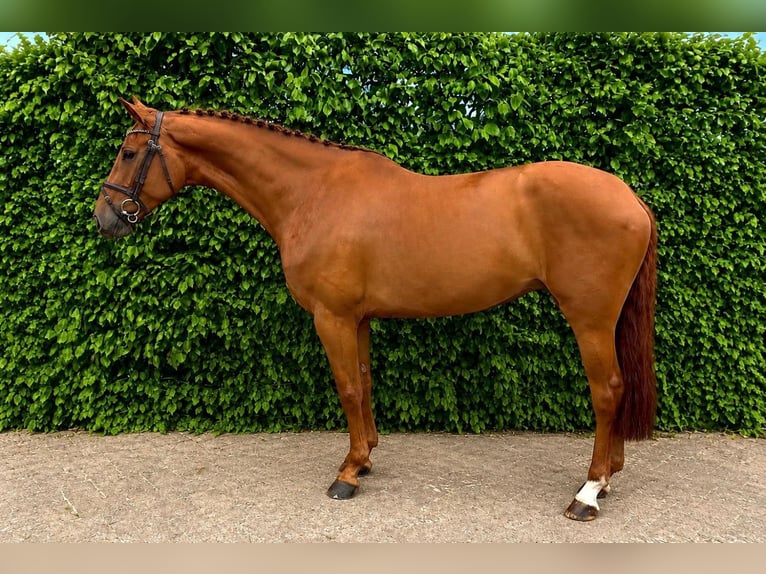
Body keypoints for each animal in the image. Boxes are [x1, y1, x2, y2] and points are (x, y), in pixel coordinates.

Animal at [93, 97, 657, 521]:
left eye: (128, 151)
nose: (104, 218)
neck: (312, 192)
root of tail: (630, 197)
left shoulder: (332, 317)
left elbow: (346, 388)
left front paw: (346, 474)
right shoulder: (358, 318)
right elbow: (363, 384)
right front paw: (363, 462)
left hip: (589, 319)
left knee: (607, 391)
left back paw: (588, 493)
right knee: (620, 387)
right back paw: (609, 479)